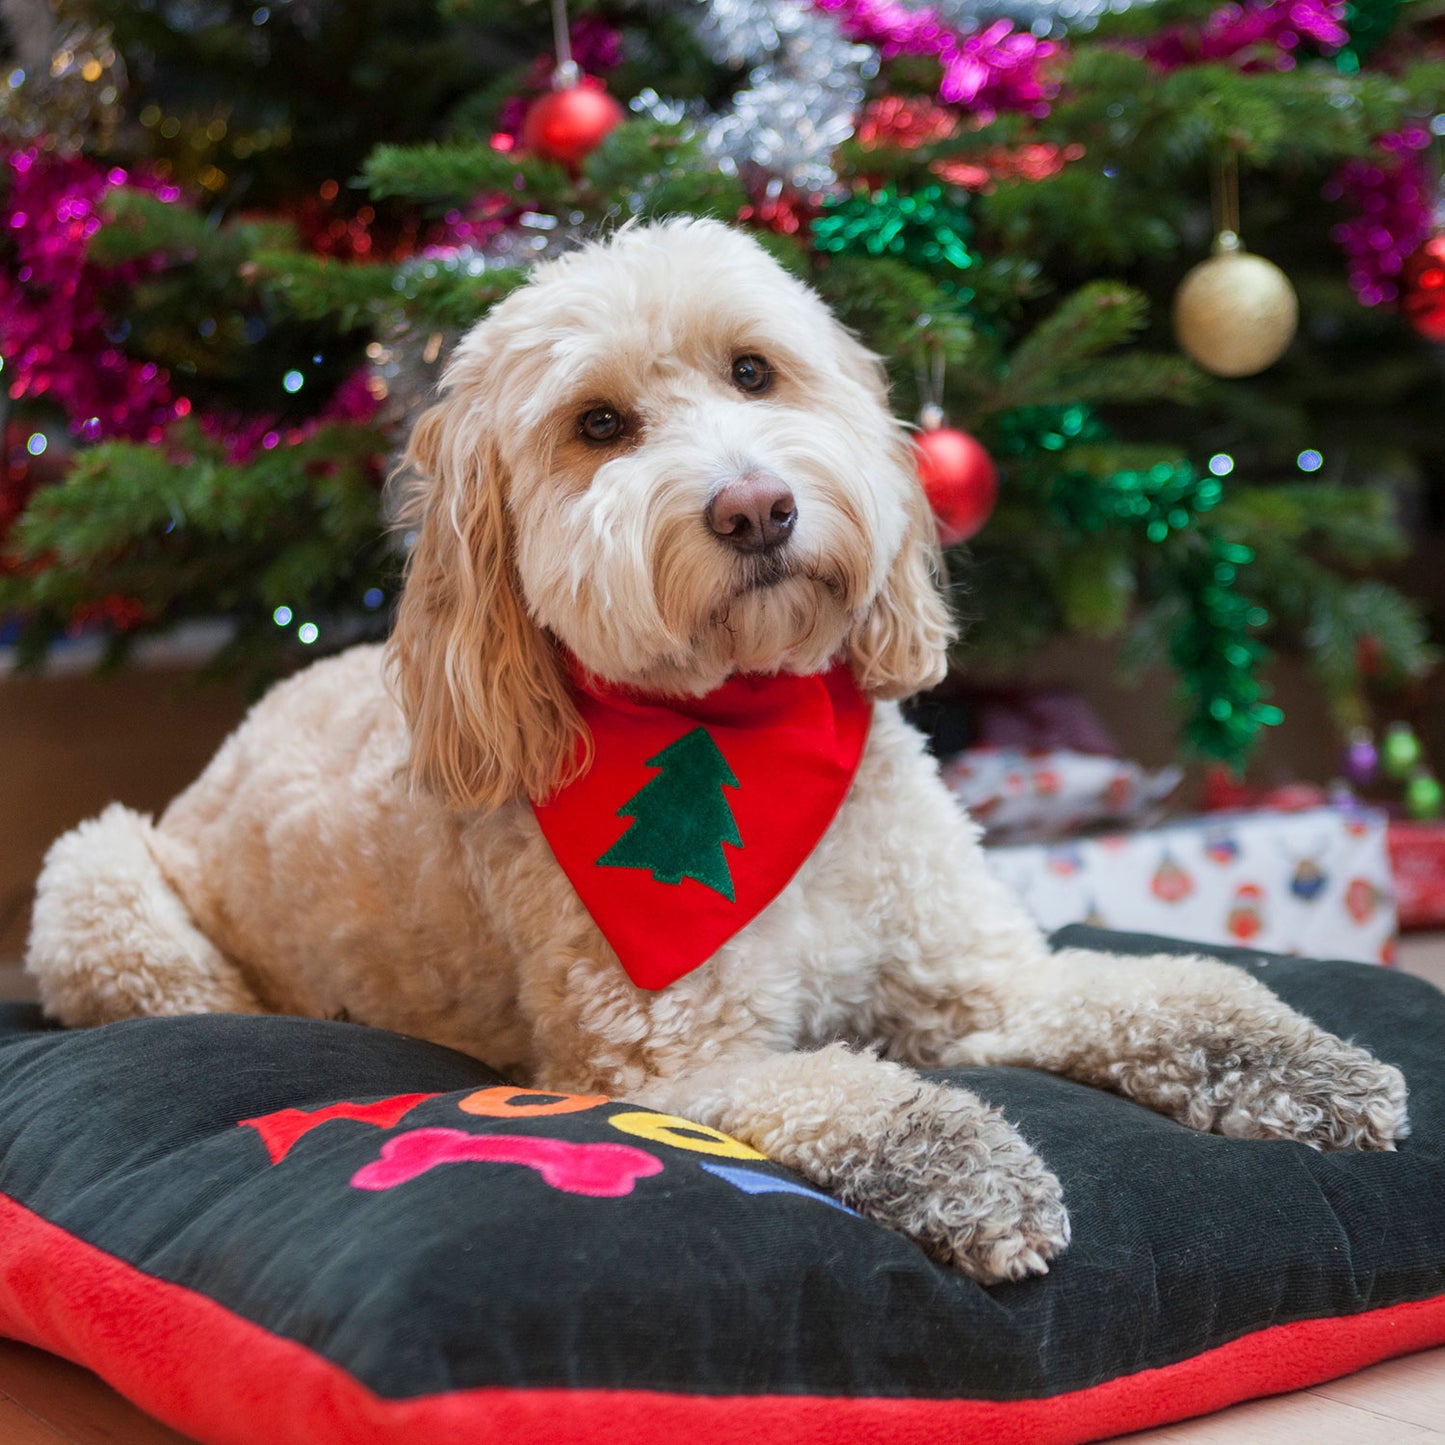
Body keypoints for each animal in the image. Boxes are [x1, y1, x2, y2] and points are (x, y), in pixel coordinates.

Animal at [28, 219, 1410, 1283]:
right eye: (598, 424)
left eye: (754, 371)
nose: (755, 508)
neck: (744, 719)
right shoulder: (675, 1064)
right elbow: (858, 1092)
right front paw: (970, 1169)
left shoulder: (979, 982)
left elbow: (1181, 992)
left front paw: (1309, 1070)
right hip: (101, 884)